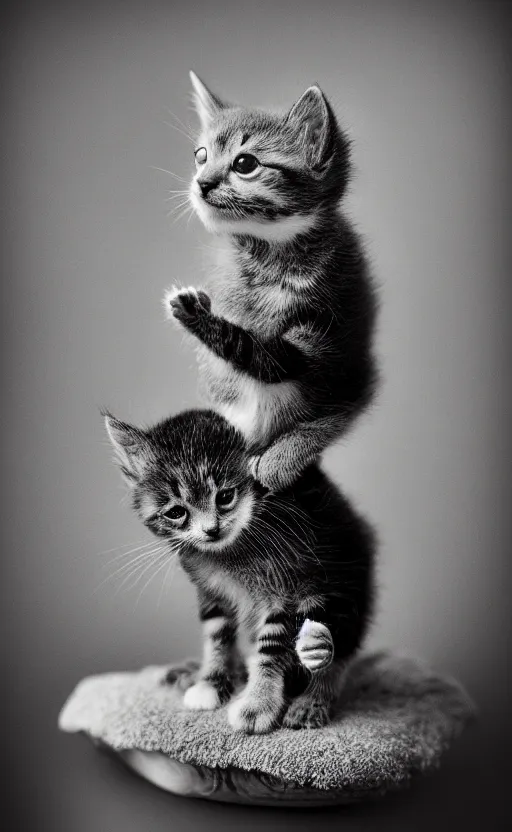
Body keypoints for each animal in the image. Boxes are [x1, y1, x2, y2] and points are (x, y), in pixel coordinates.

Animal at [105, 406, 376, 732]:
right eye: (176, 512)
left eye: (225, 497)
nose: (211, 530)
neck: (230, 552)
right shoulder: (210, 590)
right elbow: (217, 635)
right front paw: (211, 680)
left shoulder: (287, 587)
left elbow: (270, 646)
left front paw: (258, 704)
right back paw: (201, 673)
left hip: (343, 582)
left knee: (338, 653)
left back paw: (313, 688)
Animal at [166, 73, 378, 494]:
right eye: (201, 156)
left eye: (245, 163)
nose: (201, 182)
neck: (268, 258)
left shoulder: (335, 338)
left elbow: (265, 357)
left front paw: (282, 458)